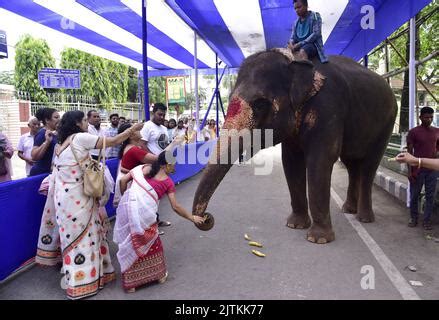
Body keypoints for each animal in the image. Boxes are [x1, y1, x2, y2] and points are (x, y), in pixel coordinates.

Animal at [192, 48, 398, 244]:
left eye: (259, 105)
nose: (207, 218)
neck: (295, 60)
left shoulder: (328, 107)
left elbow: (320, 160)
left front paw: (318, 239)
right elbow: (291, 162)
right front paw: (295, 225)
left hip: (387, 124)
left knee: (369, 166)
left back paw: (364, 218)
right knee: (352, 164)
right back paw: (348, 209)